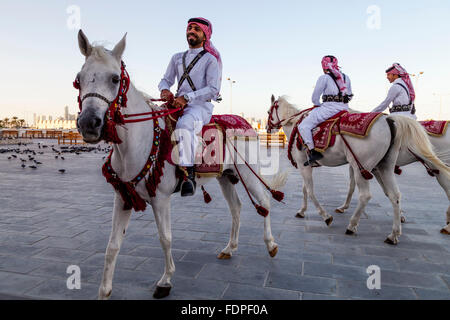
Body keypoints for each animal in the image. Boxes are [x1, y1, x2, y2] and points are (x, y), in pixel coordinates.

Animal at [73, 31, 284, 298]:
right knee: (236, 208)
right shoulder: (123, 197)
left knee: (264, 201)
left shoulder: (160, 199)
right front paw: (104, 290)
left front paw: (165, 281)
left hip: (248, 172)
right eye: (79, 79)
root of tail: (245, 124)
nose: (89, 123)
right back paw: (230, 248)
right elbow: (112, 245)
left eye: (114, 79)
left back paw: (271, 245)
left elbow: (165, 238)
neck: (137, 141)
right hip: (225, 176)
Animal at [268, 95, 450, 242]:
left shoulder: (304, 165)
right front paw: (302, 210)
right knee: (395, 195)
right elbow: (306, 189)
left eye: (269, 111)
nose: (269, 127)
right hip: (384, 166)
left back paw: (352, 225)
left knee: (365, 195)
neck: (296, 126)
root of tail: (390, 121)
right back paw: (393, 234)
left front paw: (326, 216)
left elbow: (311, 190)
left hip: (365, 165)